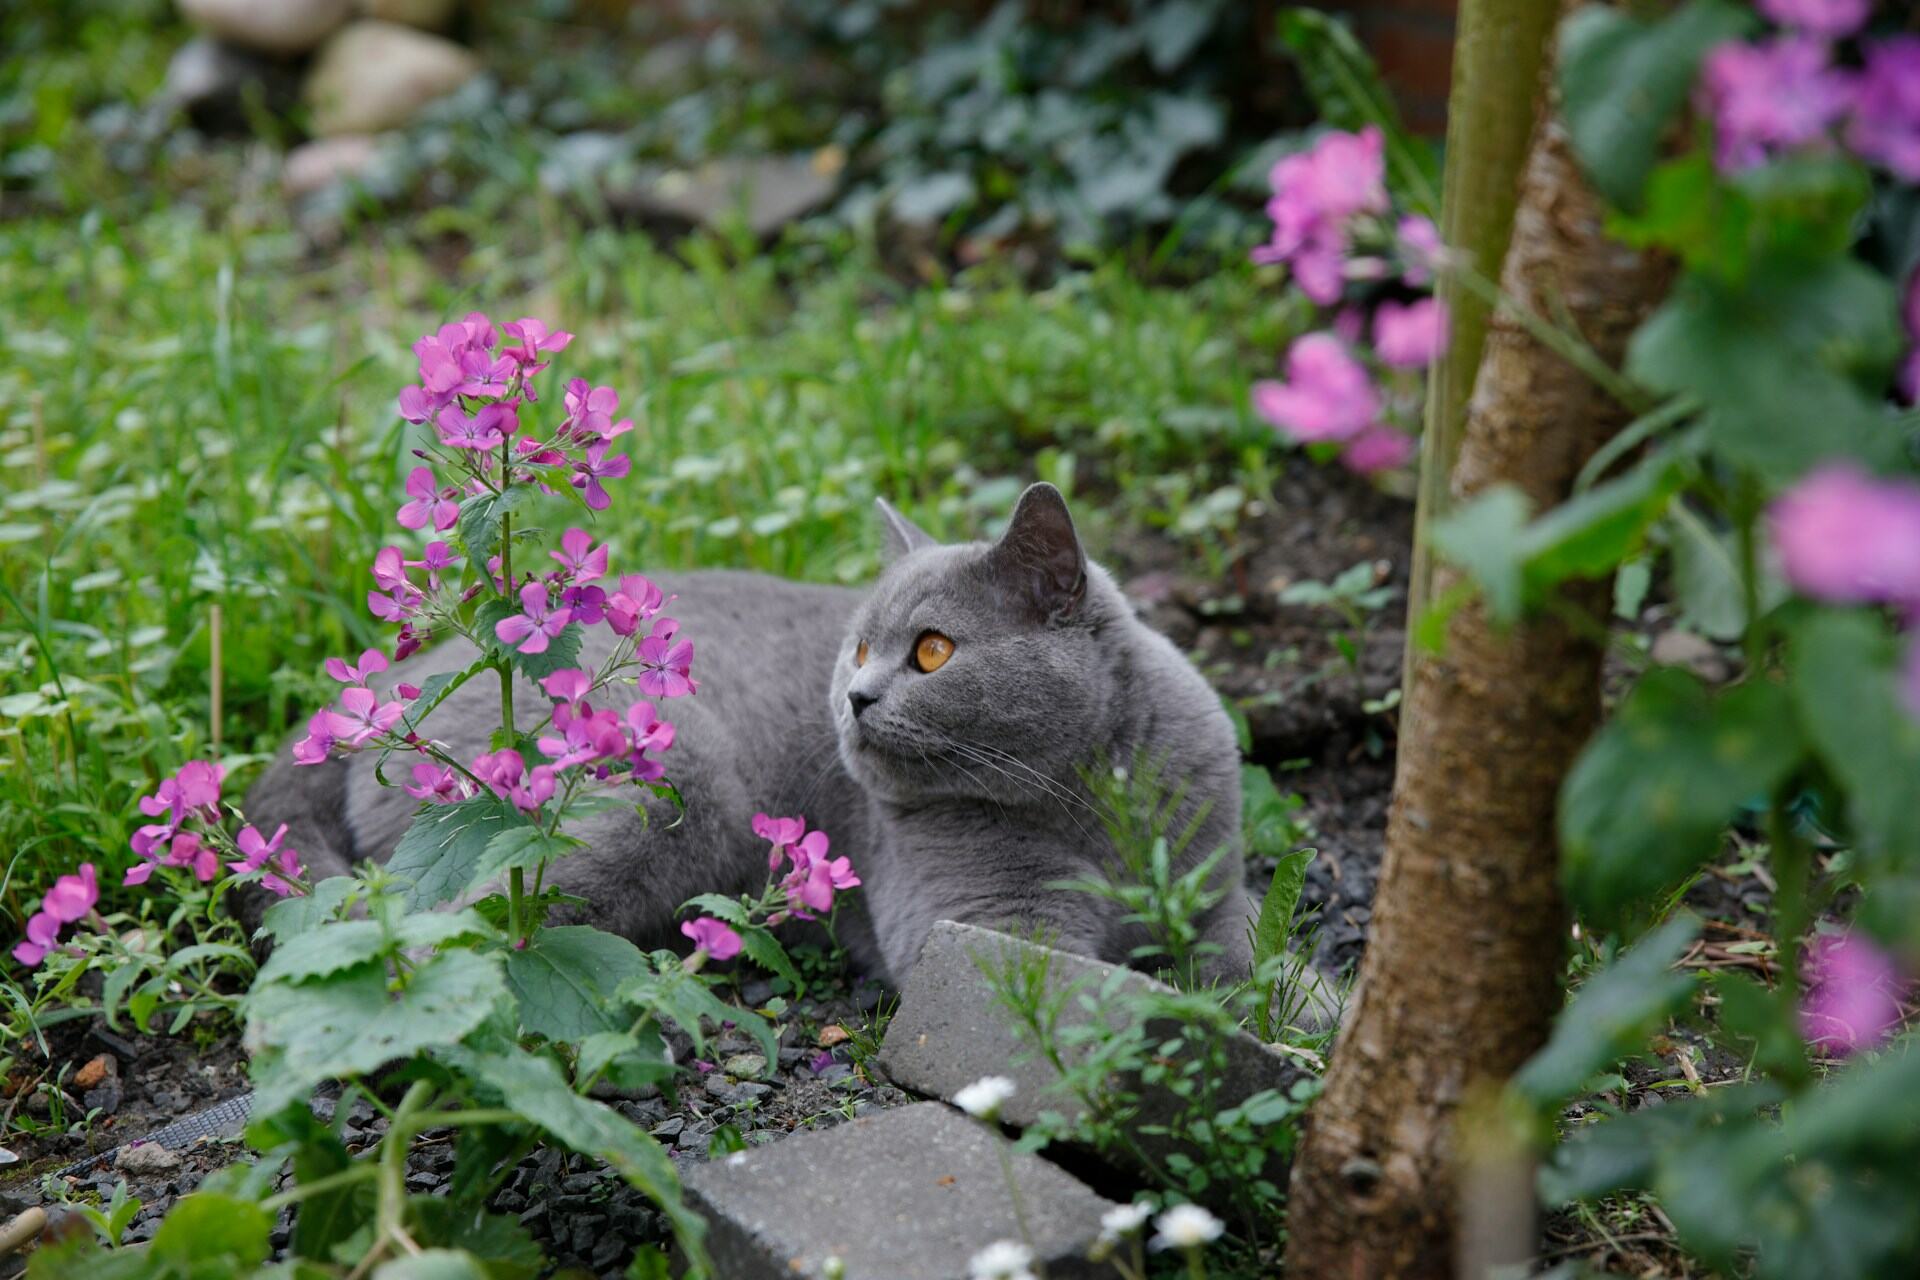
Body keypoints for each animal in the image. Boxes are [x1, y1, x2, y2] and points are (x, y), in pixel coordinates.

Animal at [243, 485, 1259, 990]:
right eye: (860, 645)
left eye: (932, 650)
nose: (853, 696)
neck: (1098, 803)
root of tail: (378, 689)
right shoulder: (986, 920)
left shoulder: (1218, 882)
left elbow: (1247, 961)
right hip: (672, 782)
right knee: (452, 932)